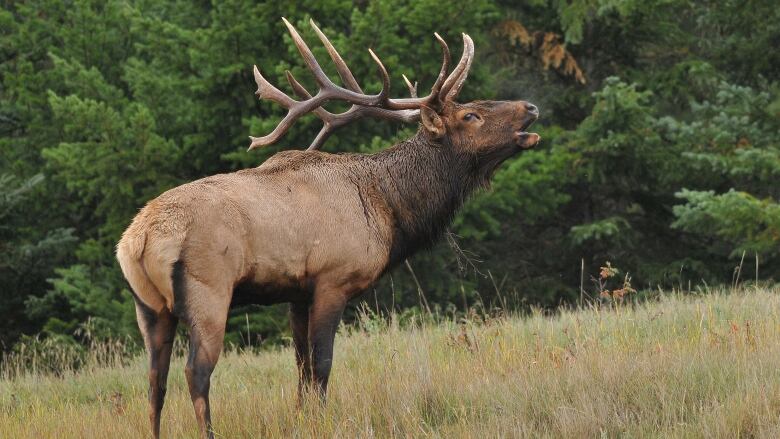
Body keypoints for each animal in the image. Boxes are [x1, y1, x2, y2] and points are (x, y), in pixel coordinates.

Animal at [116, 18, 540, 439]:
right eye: (470, 116)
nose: (531, 106)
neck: (388, 210)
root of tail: (139, 240)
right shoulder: (332, 279)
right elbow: (321, 364)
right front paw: (321, 422)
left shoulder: (296, 292)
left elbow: (301, 366)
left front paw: (301, 419)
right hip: (209, 290)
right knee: (196, 373)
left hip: (149, 306)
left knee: (155, 381)